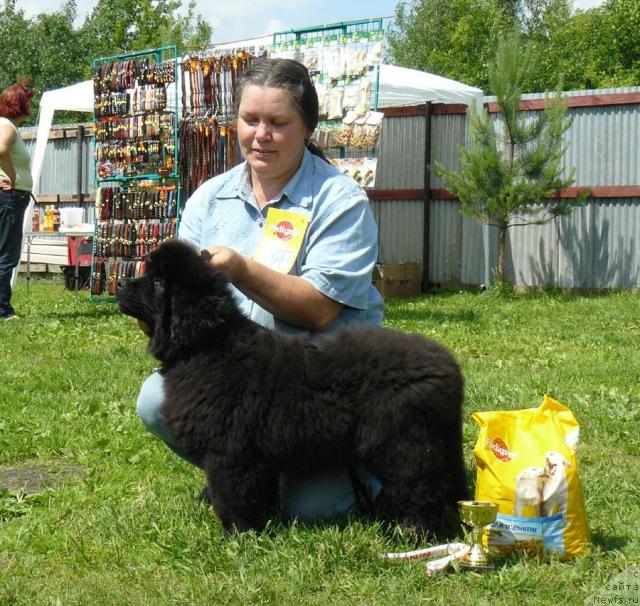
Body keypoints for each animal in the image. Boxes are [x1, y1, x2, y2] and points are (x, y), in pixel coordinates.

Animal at [116, 241, 464, 536]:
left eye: (158, 282)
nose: (119, 284)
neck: (207, 344)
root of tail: (447, 364)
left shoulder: (229, 451)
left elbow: (232, 494)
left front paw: (237, 535)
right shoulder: (254, 455)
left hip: (401, 443)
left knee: (420, 486)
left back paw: (411, 532)